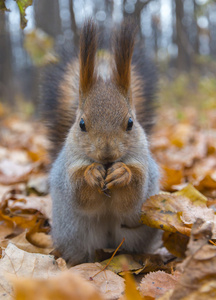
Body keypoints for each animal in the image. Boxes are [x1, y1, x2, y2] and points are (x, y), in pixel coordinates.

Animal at [41, 19, 160, 264]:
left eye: (130, 122)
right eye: (82, 124)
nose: (107, 153)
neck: (106, 165)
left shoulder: (142, 163)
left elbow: (133, 195)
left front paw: (122, 173)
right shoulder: (69, 168)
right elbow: (80, 194)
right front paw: (91, 174)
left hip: (134, 233)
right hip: (77, 235)